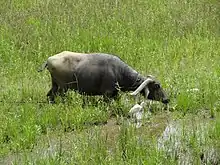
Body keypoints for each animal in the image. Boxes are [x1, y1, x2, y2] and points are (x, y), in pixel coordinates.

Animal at [37, 50, 169, 104]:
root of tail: (49, 60)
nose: (167, 99)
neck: (119, 71)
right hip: (63, 88)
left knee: (49, 96)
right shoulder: (107, 94)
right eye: (157, 86)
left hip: (55, 85)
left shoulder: (115, 94)